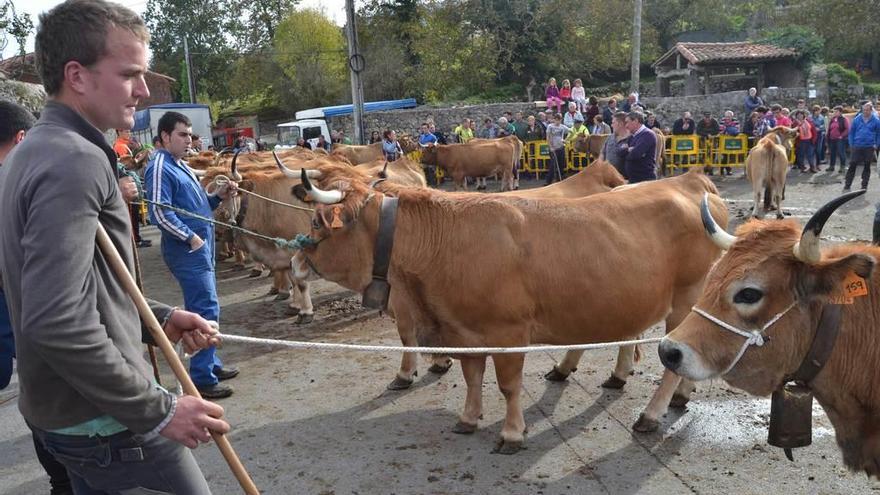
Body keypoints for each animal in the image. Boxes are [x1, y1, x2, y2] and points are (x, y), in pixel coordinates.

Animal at [288, 168, 728, 454]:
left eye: (317, 221)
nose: (294, 261)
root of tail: (689, 179)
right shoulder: (463, 332)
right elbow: (472, 377)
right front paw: (468, 419)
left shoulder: (507, 332)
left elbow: (508, 385)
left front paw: (512, 434)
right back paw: (662, 391)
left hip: (687, 298)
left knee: (672, 362)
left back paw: (652, 414)